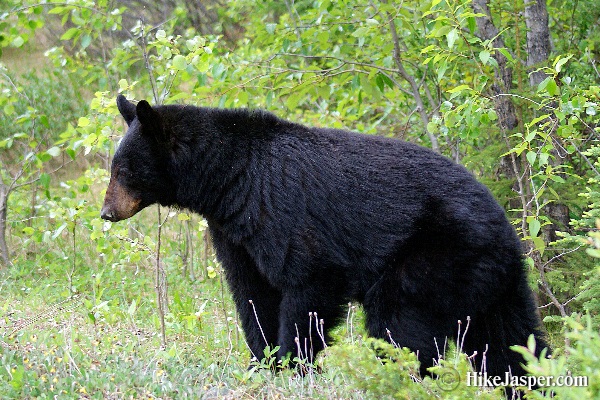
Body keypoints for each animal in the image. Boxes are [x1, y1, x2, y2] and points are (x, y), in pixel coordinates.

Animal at [102, 94, 548, 382]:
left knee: (399, 321)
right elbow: (252, 293)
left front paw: (291, 364)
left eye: (124, 170)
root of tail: (508, 233)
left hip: (437, 253)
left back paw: (390, 376)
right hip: (492, 282)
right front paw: (261, 362)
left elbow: (306, 282)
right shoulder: (234, 231)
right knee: (509, 340)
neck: (230, 180)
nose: (107, 212)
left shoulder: (282, 212)